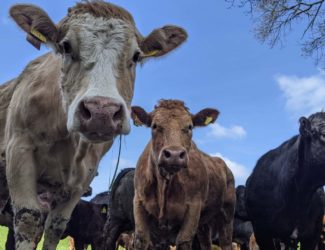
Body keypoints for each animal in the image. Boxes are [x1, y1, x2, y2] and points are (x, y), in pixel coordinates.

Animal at [0, 1, 187, 248]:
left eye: (136, 56)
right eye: (66, 46)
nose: (101, 111)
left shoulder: (82, 178)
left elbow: (54, 227)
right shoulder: (19, 153)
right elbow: (28, 220)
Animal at [130, 99, 234, 250]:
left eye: (190, 127)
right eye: (155, 126)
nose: (174, 154)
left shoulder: (194, 207)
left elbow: (184, 240)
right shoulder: (138, 201)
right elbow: (141, 239)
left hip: (227, 214)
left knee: (226, 242)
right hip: (203, 224)